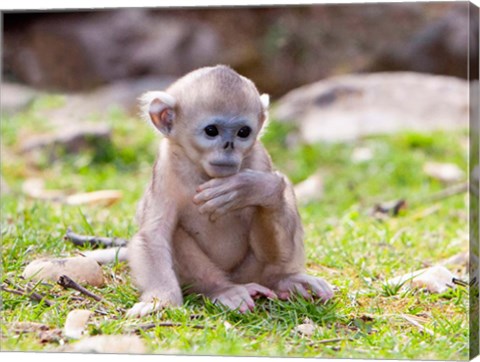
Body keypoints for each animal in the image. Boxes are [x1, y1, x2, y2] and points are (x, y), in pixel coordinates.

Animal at [126, 65, 334, 316]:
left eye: (243, 132)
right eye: (211, 131)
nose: (229, 146)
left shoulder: (260, 160)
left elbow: (273, 192)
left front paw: (251, 189)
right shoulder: (166, 169)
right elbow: (153, 235)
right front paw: (161, 300)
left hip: (251, 271)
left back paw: (283, 279)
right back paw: (223, 289)